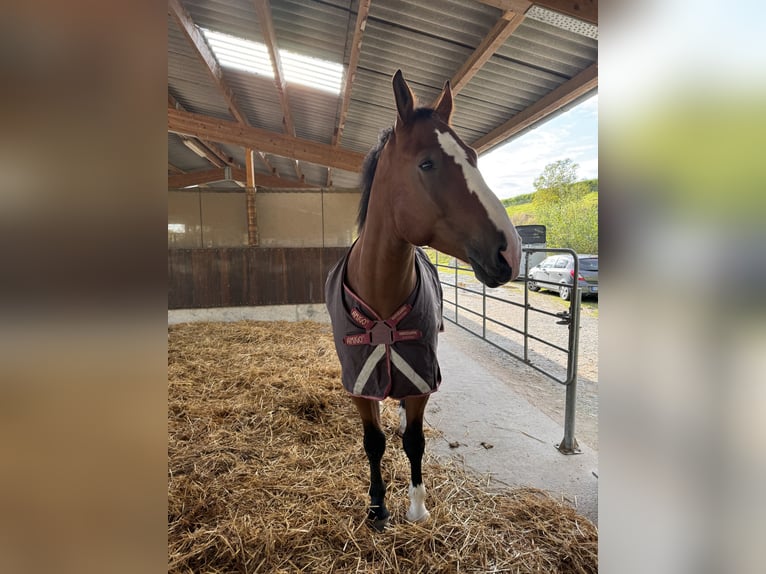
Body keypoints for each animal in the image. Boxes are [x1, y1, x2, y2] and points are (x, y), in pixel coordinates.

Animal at [324, 70, 520, 532]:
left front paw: (416, 506)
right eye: (427, 163)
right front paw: (377, 507)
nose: (511, 251)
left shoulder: (421, 374)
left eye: (473, 156)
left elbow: (414, 440)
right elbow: (373, 442)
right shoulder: (358, 381)